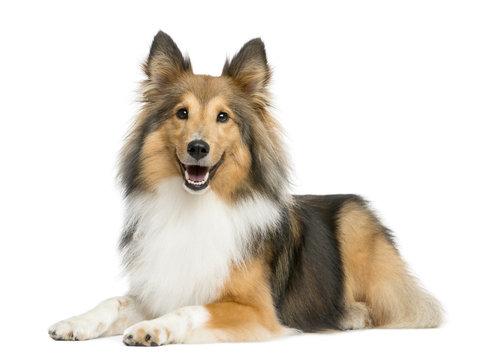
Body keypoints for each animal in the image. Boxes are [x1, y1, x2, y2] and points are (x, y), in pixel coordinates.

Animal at [48, 31, 444, 346]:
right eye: (181, 113)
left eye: (223, 117)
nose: (197, 148)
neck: (196, 206)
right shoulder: (161, 285)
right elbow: (113, 301)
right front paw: (74, 322)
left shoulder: (256, 309)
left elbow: (191, 310)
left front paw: (152, 329)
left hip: (354, 223)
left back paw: (351, 315)